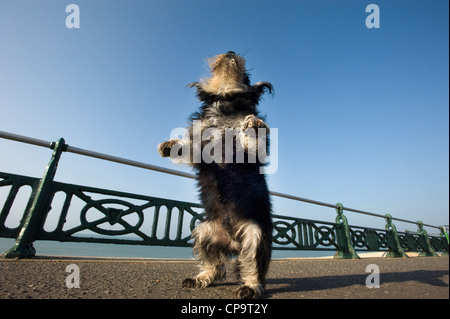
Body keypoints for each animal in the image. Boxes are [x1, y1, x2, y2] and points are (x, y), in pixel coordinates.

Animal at [156, 50, 272, 300]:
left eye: (247, 74)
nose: (230, 51)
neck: (226, 101)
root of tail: (233, 243)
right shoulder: (199, 149)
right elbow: (187, 149)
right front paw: (170, 145)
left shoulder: (252, 152)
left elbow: (252, 136)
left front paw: (254, 124)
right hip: (204, 232)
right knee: (215, 267)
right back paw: (199, 278)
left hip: (255, 235)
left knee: (252, 267)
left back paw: (250, 287)